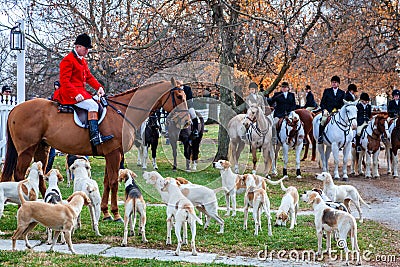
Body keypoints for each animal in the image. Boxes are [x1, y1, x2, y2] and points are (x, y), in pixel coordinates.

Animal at [0, 79, 191, 222]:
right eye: (179, 96)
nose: (187, 122)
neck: (123, 111)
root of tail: (15, 108)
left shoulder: (111, 154)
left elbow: (107, 182)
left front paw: (106, 213)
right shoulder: (114, 154)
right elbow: (113, 182)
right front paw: (115, 213)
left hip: (43, 149)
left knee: (40, 178)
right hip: (26, 151)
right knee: (19, 175)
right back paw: (23, 206)